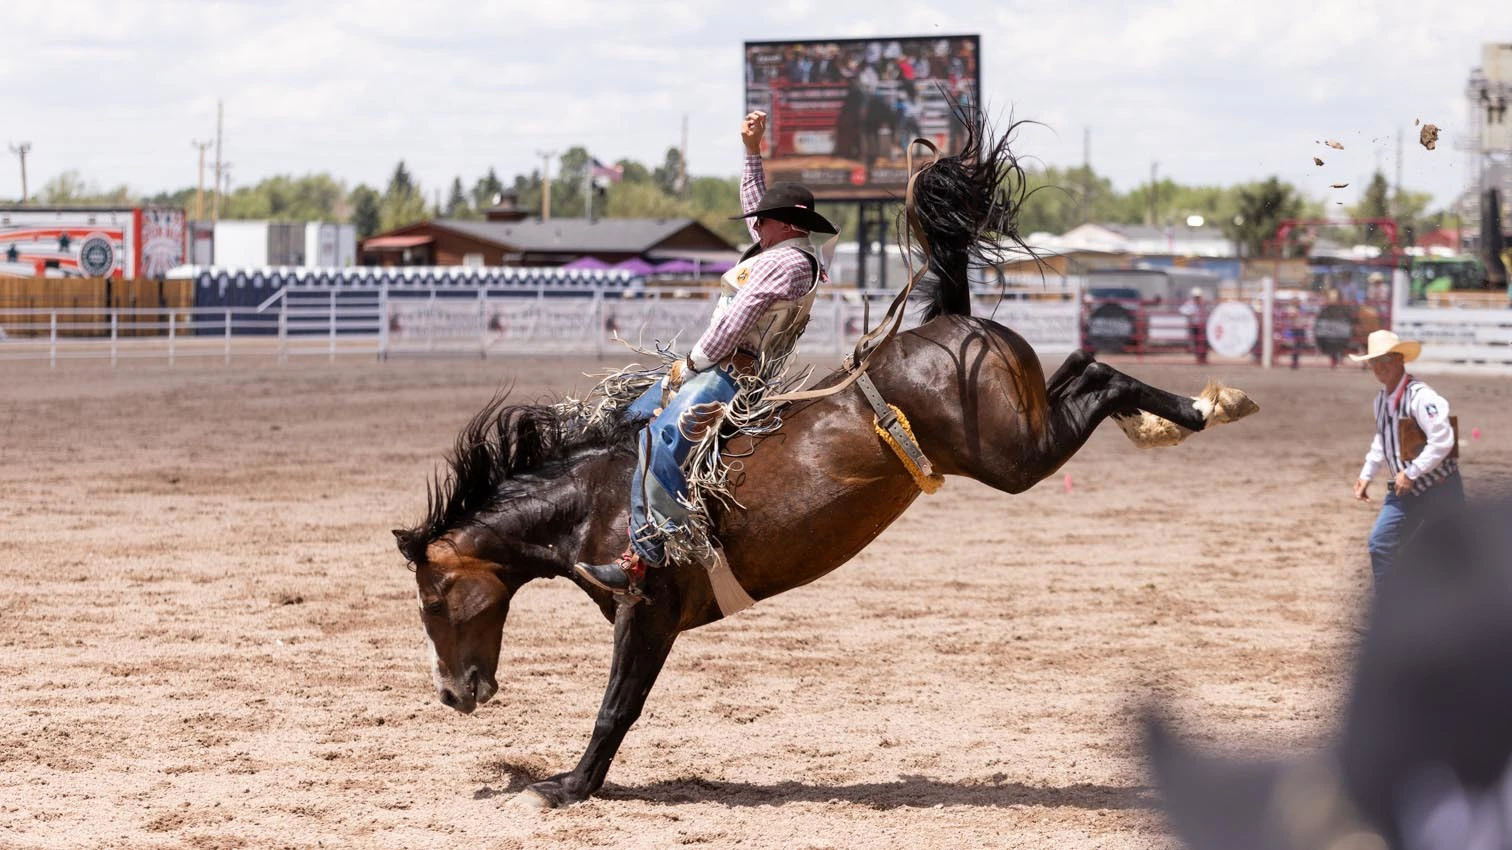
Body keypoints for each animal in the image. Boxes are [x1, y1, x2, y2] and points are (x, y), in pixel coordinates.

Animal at [394, 114, 1260, 809]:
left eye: (433, 600)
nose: (452, 695)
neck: (596, 503)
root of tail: (948, 321)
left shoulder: (650, 609)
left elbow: (617, 706)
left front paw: (567, 786)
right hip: (1023, 426)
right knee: (1081, 364)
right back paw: (1183, 414)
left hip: (1015, 455)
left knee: (1101, 374)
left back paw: (1203, 408)